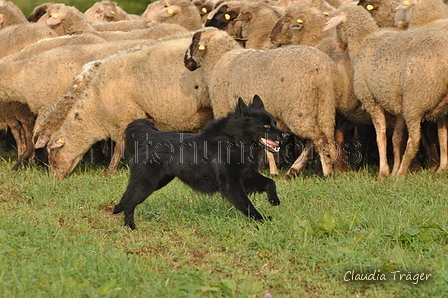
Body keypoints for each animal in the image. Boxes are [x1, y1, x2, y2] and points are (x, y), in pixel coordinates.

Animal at [35, 35, 214, 178]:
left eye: (52, 151)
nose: (54, 179)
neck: (95, 106)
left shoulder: (125, 118)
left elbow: (119, 148)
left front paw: (109, 172)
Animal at [114, 95, 288, 228]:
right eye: (265, 125)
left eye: (274, 123)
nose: (286, 135)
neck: (235, 141)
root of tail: (150, 135)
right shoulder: (231, 183)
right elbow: (246, 204)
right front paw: (261, 219)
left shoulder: (246, 175)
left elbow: (270, 182)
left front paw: (274, 200)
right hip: (147, 183)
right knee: (130, 202)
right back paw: (130, 226)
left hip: (157, 182)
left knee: (127, 198)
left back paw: (118, 210)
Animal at [184, 27, 342, 177]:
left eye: (194, 42)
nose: (186, 62)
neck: (218, 60)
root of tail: (323, 69)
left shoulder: (223, 107)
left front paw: (271, 172)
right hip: (324, 105)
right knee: (317, 139)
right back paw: (295, 170)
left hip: (300, 108)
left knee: (319, 138)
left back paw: (327, 172)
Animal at [324, 4, 448, 177]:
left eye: (336, 26)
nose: (337, 46)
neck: (363, 40)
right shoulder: (398, 105)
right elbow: (397, 138)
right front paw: (393, 168)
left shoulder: (370, 99)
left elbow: (381, 136)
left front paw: (384, 172)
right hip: (435, 106)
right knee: (443, 136)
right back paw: (441, 169)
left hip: (416, 100)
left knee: (414, 140)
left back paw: (402, 173)